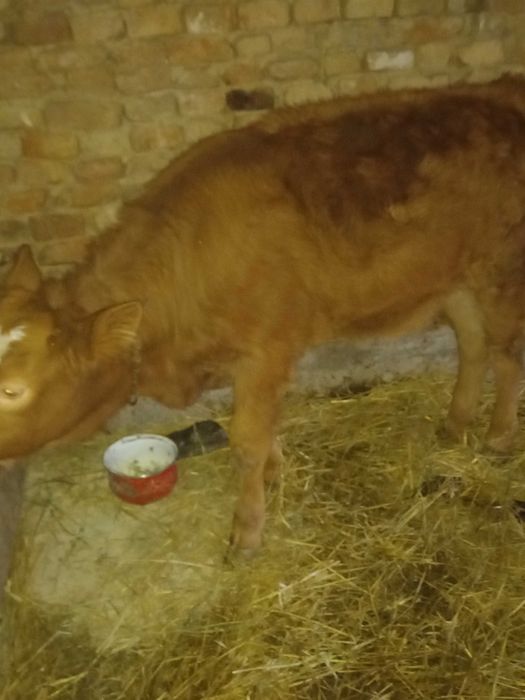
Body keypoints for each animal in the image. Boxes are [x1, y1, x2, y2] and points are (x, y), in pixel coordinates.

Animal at [1, 75, 525, 553]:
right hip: (457, 279)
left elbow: (247, 441)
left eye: (13, 390)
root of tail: (502, 88)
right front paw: (274, 473)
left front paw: (247, 531)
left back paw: (497, 438)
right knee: (474, 344)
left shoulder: (266, 350)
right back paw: (455, 424)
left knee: (506, 355)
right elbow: (264, 428)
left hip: (501, 272)